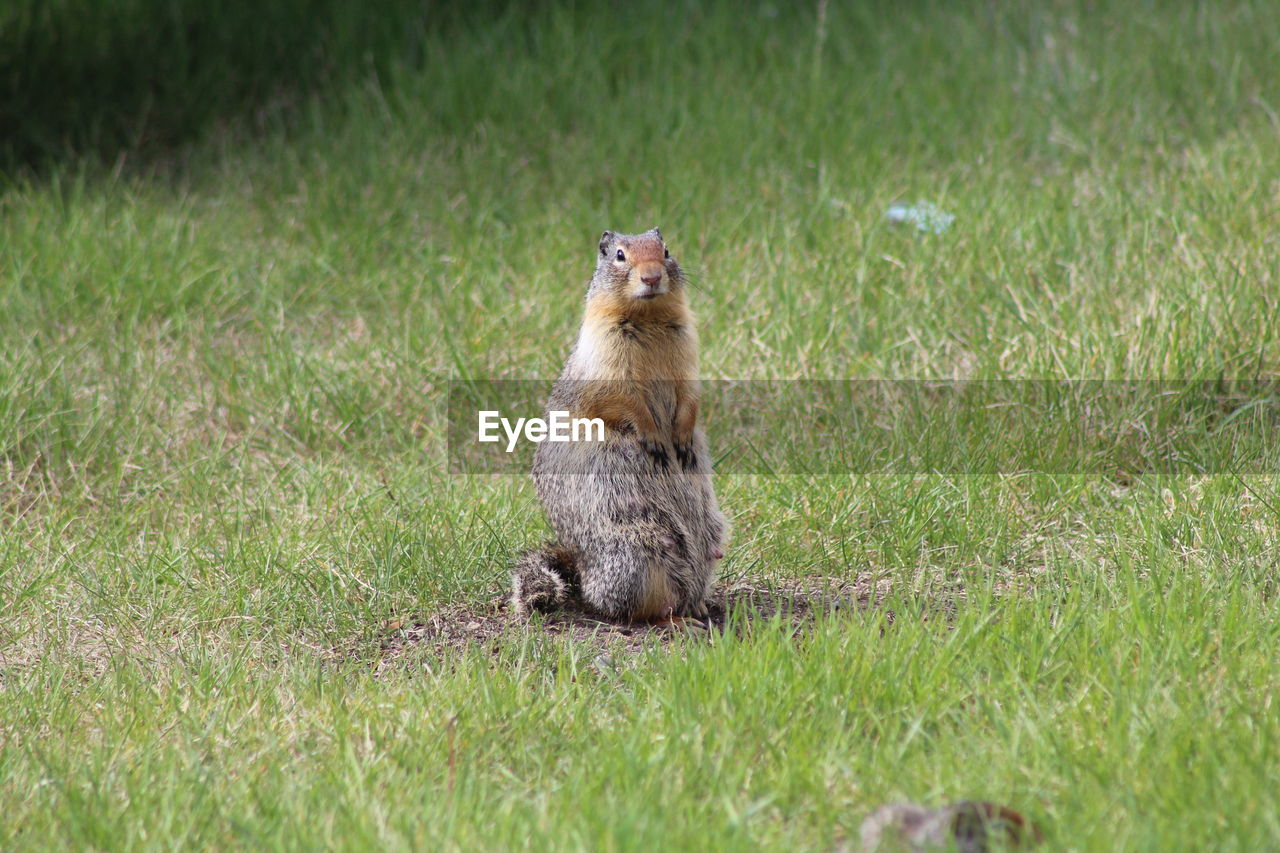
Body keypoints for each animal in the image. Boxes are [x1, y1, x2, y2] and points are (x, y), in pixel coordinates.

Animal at [509, 229, 732, 622]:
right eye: (619, 255)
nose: (652, 277)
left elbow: (690, 393)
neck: (649, 318)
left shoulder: (687, 351)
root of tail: (583, 572)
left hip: (708, 539)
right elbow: (622, 398)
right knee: (639, 607)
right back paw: (677, 620)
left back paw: (701, 607)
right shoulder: (605, 354)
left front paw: (683, 439)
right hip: (637, 551)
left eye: (666, 250)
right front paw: (655, 438)